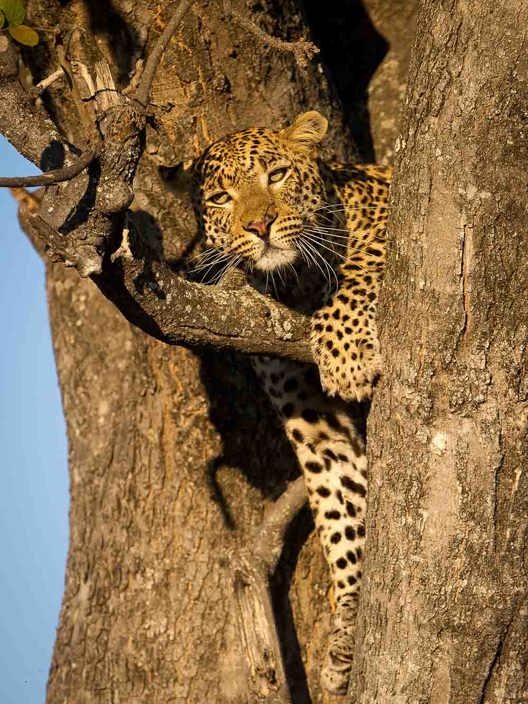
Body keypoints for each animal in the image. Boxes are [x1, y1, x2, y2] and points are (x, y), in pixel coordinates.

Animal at [189, 111, 390, 694]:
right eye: (222, 198)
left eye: (276, 174)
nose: (260, 226)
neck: (295, 285)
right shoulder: (313, 417)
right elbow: (340, 511)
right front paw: (349, 624)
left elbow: (360, 263)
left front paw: (345, 354)